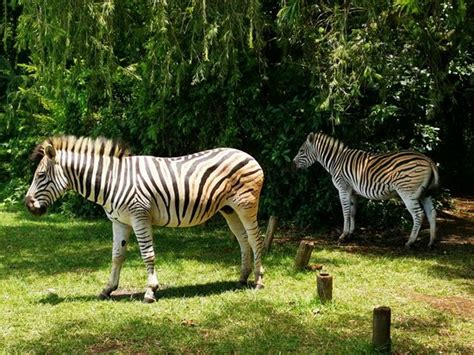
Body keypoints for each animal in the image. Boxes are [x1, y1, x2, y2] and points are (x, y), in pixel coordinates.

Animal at [25, 136, 266, 304]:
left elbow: (147, 255)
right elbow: (117, 256)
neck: (112, 180)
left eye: (40, 176)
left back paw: (259, 281)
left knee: (255, 239)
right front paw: (108, 289)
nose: (28, 205)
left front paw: (150, 291)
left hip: (246, 205)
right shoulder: (119, 222)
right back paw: (242, 278)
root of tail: (248, 156)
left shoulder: (140, 217)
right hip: (229, 209)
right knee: (243, 240)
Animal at [292, 132, 440, 249]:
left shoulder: (343, 188)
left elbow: (345, 212)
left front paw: (343, 236)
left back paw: (410, 242)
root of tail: (428, 159)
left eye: (301, 151)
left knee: (418, 214)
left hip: (407, 192)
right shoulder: (353, 192)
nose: (292, 164)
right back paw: (431, 242)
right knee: (431, 213)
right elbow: (352, 212)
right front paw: (351, 234)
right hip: (425, 193)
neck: (336, 160)